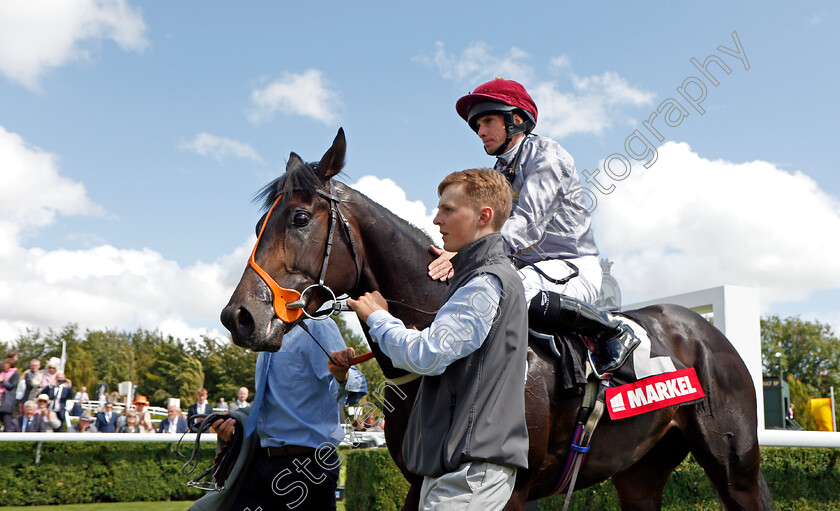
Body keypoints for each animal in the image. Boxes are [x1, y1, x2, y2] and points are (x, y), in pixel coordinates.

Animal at [221, 129, 776, 511]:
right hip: (640, 472)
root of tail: (706, 331)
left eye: (299, 218)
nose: (238, 317)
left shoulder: (511, 488)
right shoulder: (421, 482)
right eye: (259, 223)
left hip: (736, 469)